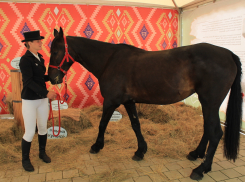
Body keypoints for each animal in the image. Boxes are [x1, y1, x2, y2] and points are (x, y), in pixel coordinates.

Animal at [48, 27, 243, 180]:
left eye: (55, 52)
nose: (51, 78)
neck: (109, 60)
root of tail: (228, 54)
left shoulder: (111, 102)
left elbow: (103, 124)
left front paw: (97, 146)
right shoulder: (128, 102)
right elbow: (136, 125)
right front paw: (140, 151)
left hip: (210, 103)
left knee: (215, 133)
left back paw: (201, 169)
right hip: (207, 104)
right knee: (207, 129)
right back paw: (196, 154)